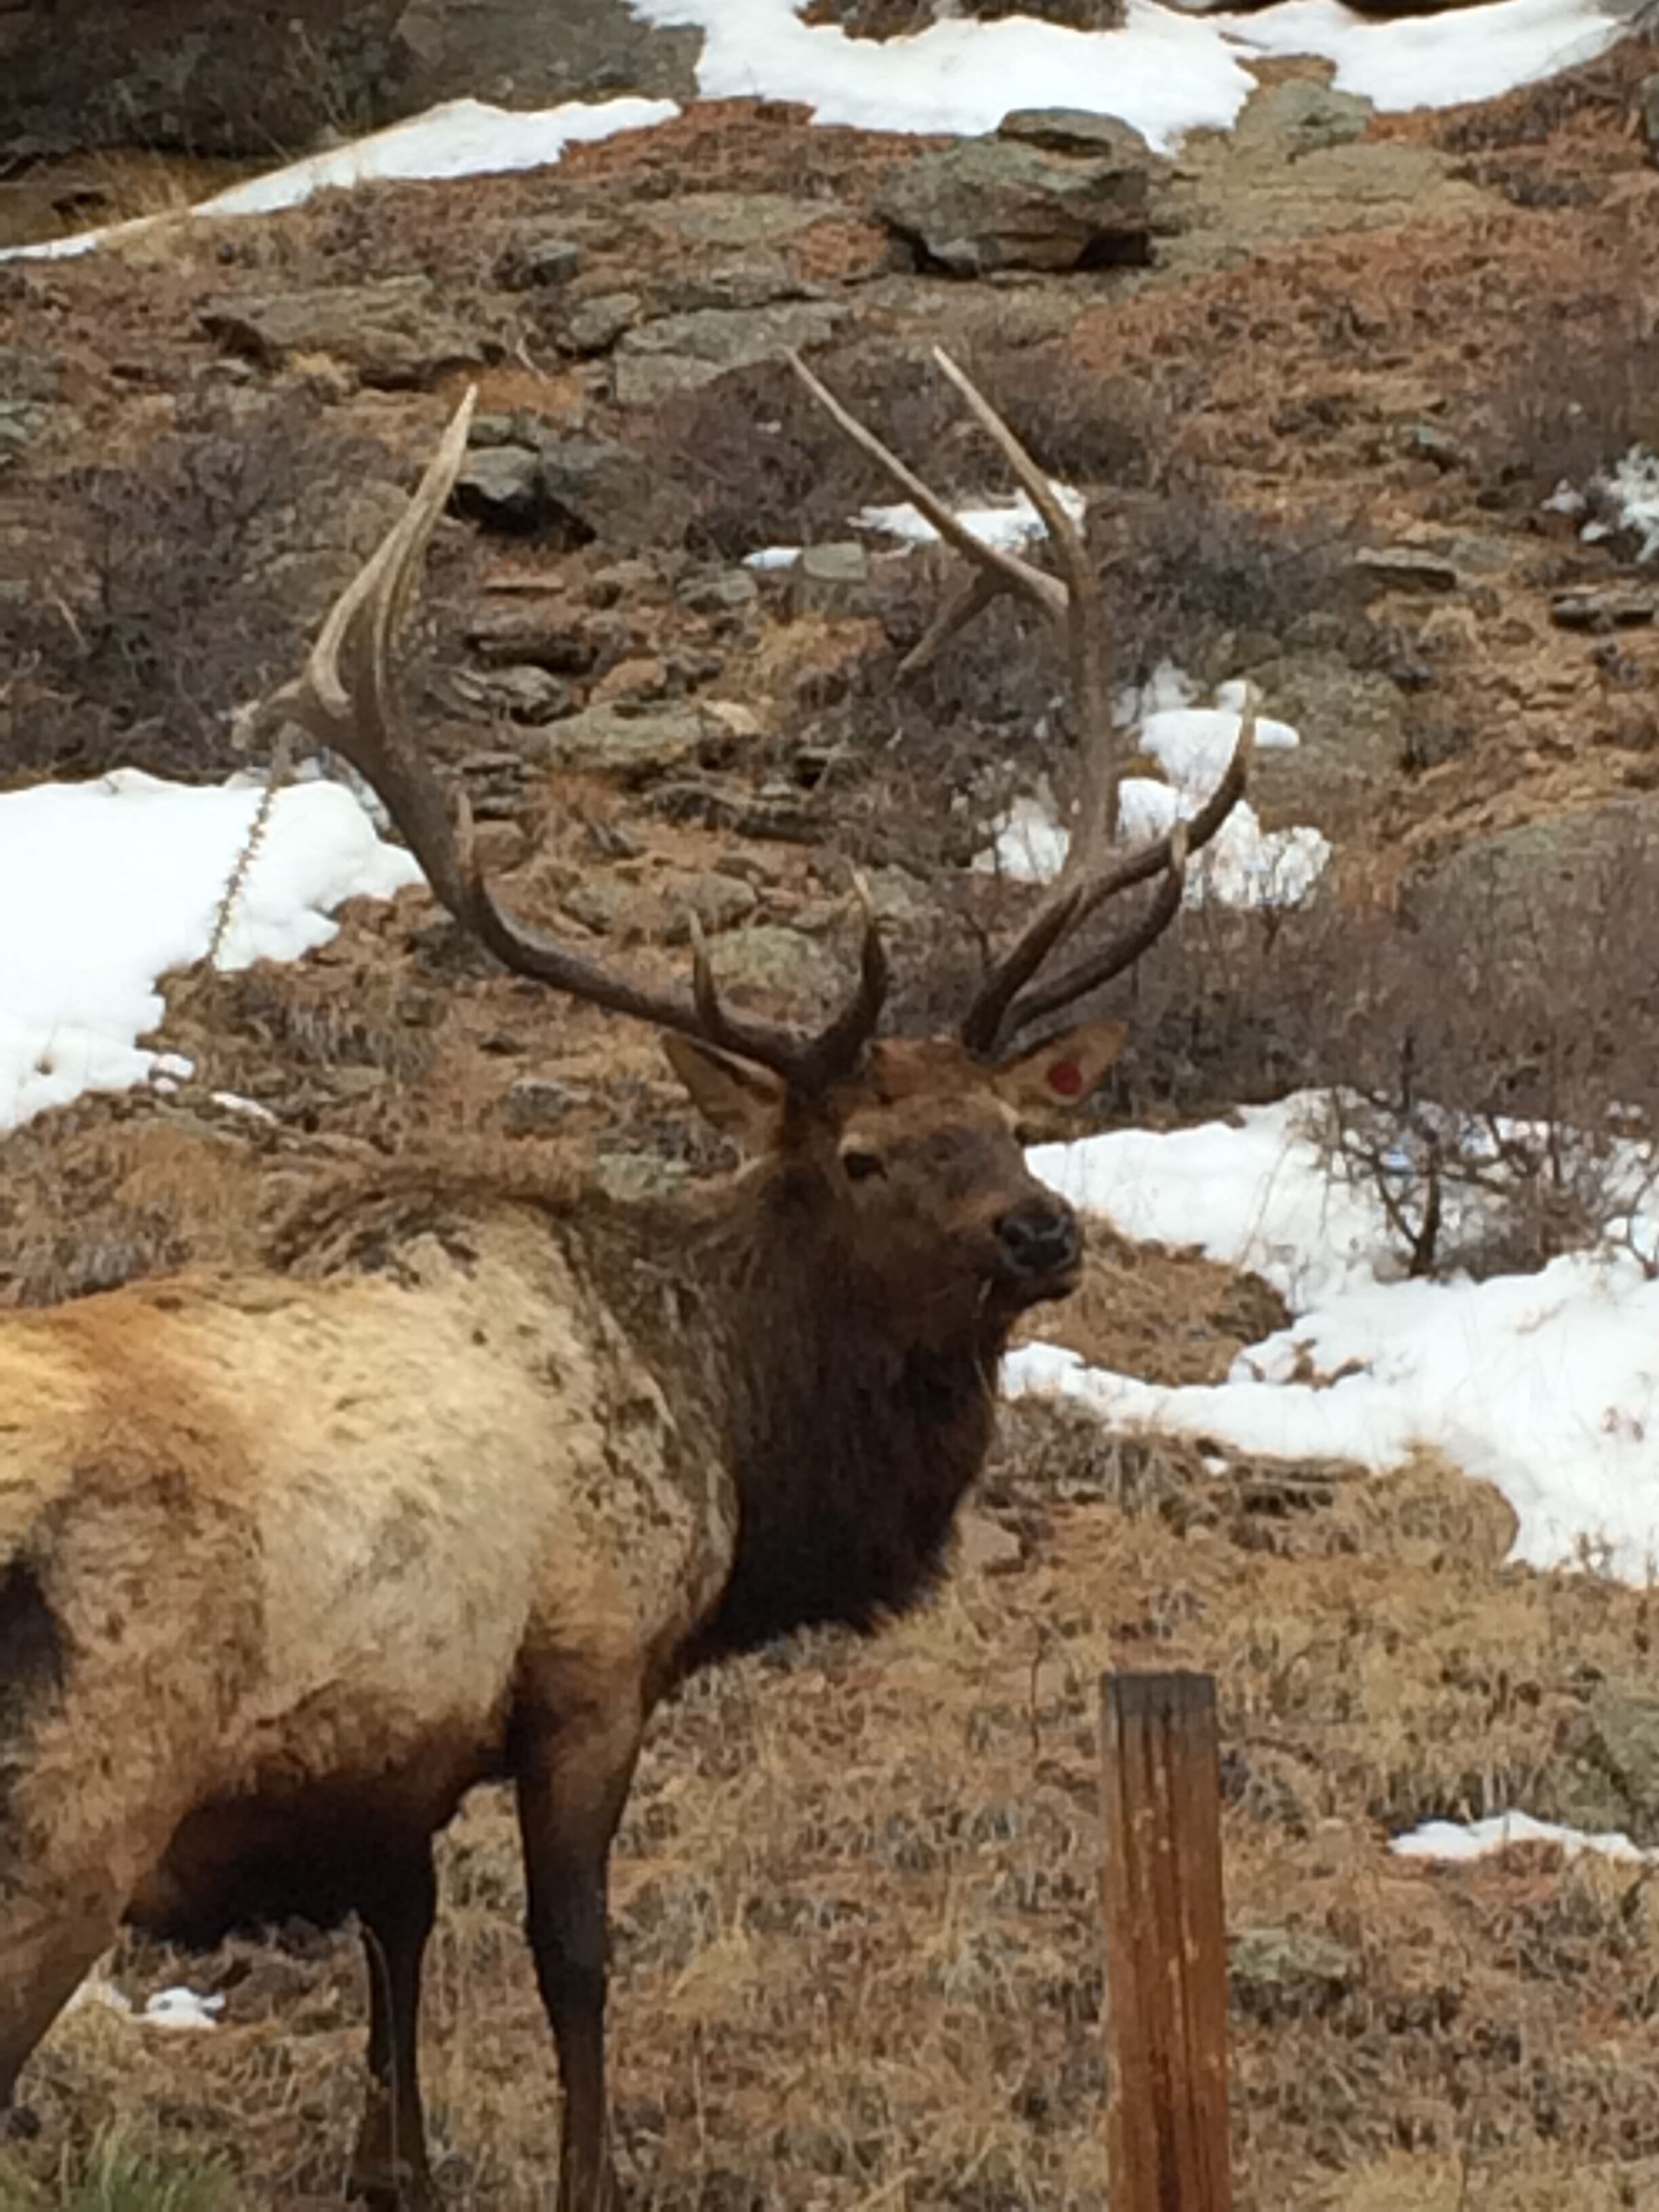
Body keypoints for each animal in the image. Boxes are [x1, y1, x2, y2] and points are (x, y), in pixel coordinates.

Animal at [0, 349, 1253, 2211]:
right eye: (859, 1156)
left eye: (1013, 1128)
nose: (1044, 1236)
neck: (730, 1424)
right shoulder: (587, 1665)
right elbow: (572, 1956)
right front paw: (590, 2170)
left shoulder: (401, 1745)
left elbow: (398, 1941)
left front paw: (397, 2166)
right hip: (70, 1821)